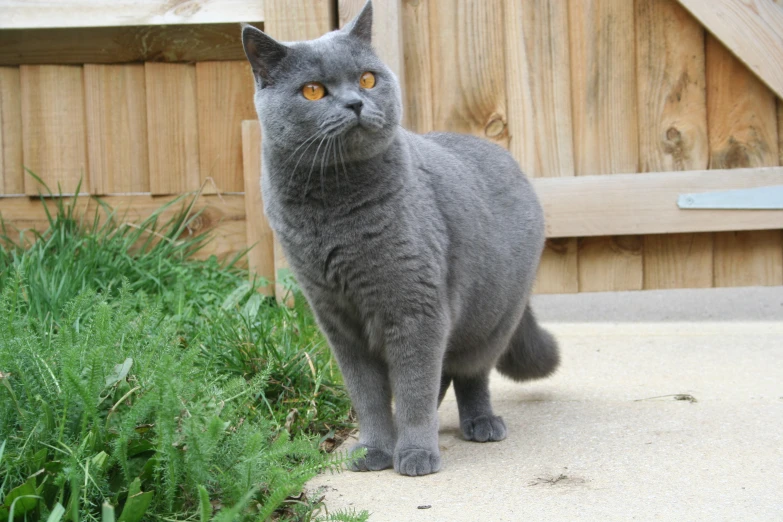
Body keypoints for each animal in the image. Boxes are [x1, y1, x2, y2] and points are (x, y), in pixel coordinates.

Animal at [242, 0, 560, 474]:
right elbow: (369, 396)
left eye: (367, 78)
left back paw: (481, 423)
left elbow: (413, 389)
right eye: (313, 91)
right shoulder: (337, 321)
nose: (356, 102)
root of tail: (505, 156)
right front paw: (374, 449)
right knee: (444, 373)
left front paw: (414, 454)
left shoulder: (415, 308)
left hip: (492, 318)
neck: (333, 210)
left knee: (469, 373)